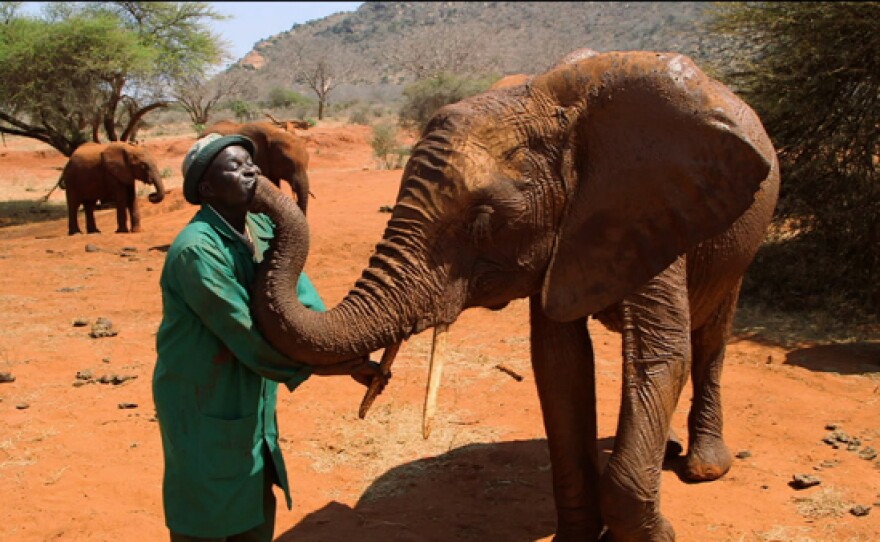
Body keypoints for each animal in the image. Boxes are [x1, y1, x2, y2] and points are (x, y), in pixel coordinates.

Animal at [246, 49, 776, 540]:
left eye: (483, 220)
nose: (245, 177)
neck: (551, 103)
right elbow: (560, 365)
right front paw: (580, 536)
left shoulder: (647, 204)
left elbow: (658, 355)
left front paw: (658, 534)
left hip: (740, 238)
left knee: (710, 338)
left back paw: (703, 467)